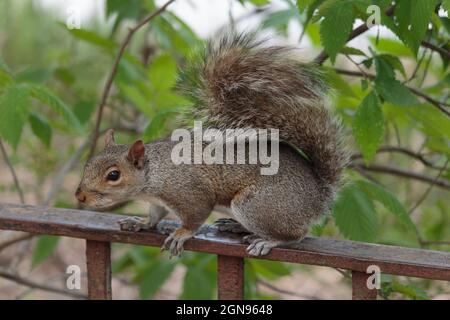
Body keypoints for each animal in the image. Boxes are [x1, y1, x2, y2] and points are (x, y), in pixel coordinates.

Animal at [74, 33, 348, 258]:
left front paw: (180, 234)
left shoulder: (189, 193)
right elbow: (155, 216)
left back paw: (267, 241)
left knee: (295, 234)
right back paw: (235, 226)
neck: (154, 174)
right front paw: (140, 223)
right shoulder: (158, 201)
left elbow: (195, 217)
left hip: (258, 205)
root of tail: (320, 194)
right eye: (88, 164)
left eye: (113, 175)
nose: (80, 196)